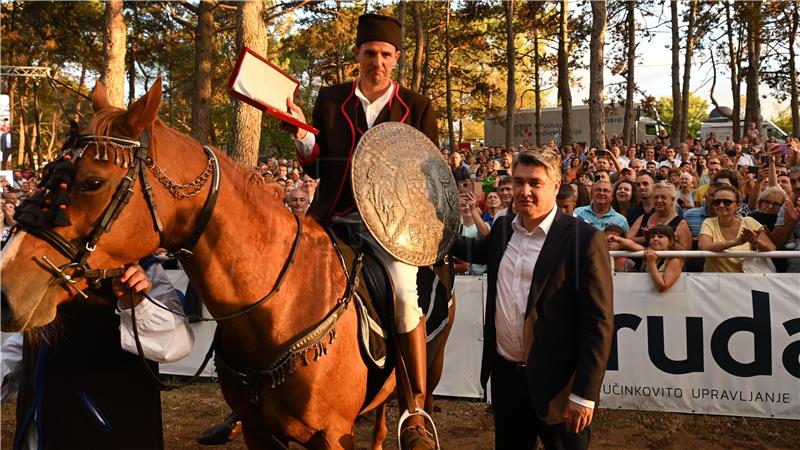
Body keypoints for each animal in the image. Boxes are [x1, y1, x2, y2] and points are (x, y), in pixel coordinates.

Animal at [0, 79, 454, 448]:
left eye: (92, 182)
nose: (6, 291)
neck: (280, 306)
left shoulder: (330, 434)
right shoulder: (259, 432)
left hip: (431, 366)